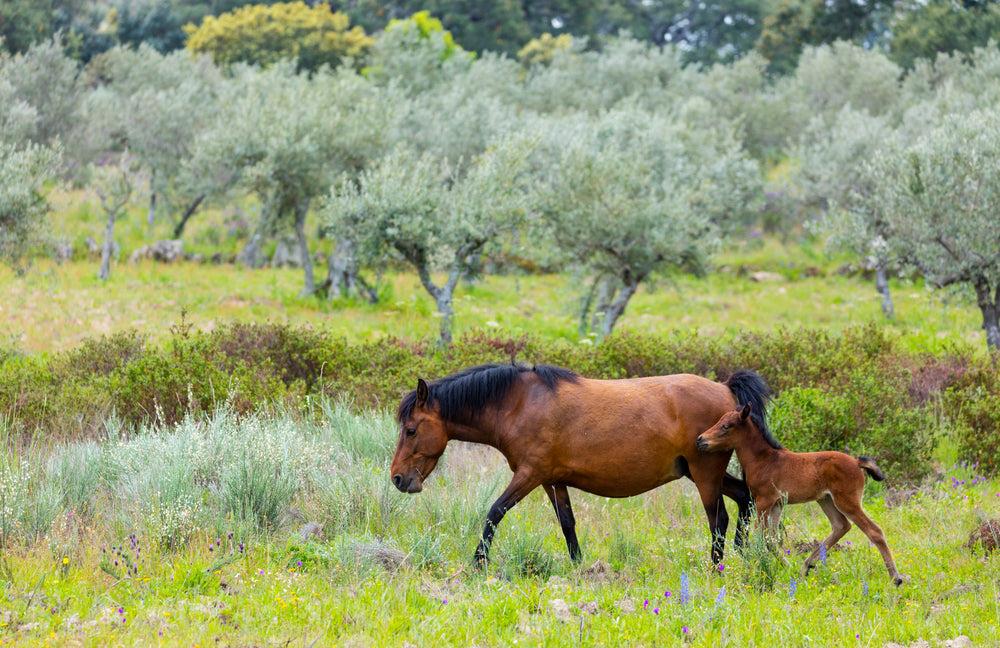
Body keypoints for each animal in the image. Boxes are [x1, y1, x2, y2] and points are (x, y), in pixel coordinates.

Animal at [390, 362, 771, 567]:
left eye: (411, 430)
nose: (397, 479)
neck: (519, 403)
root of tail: (726, 389)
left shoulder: (529, 475)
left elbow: (494, 512)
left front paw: (478, 562)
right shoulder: (552, 480)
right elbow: (568, 524)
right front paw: (579, 566)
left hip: (705, 473)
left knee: (719, 519)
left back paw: (716, 568)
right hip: (699, 472)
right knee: (744, 498)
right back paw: (741, 554)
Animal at [696, 403, 904, 586]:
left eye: (726, 426)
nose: (700, 440)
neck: (765, 460)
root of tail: (855, 462)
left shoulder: (763, 501)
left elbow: (761, 538)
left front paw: (755, 572)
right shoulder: (777, 504)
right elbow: (771, 540)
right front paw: (789, 569)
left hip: (847, 501)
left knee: (874, 531)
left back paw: (896, 578)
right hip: (826, 500)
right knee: (841, 526)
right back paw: (806, 566)